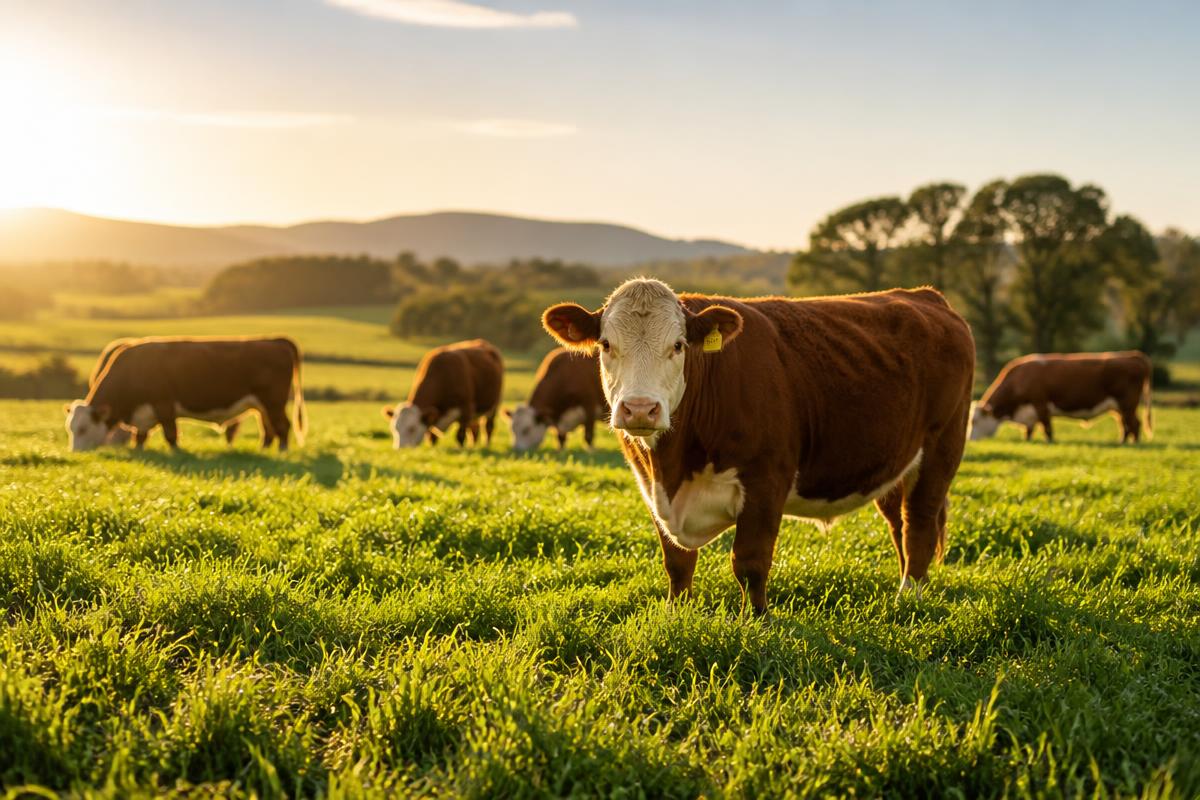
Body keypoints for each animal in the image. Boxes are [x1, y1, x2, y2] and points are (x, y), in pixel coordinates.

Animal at [65, 336, 306, 452]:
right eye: (70, 428)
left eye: (83, 428)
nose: (75, 452)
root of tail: (276, 341)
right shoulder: (145, 413)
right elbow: (140, 436)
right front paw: (139, 449)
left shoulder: (164, 404)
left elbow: (171, 433)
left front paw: (177, 451)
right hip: (262, 406)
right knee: (269, 429)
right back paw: (264, 449)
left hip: (273, 401)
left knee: (283, 426)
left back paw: (282, 450)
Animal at [542, 278, 975, 615]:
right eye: (605, 344)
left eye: (679, 345)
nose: (639, 409)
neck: (674, 465)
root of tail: (925, 296)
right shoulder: (650, 487)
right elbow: (677, 562)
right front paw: (676, 613)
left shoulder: (767, 479)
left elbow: (749, 561)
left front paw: (757, 620)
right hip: (892, 461)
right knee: (897, 522)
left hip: (942, 447)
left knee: (918, 523)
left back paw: (909, 598)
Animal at [969, 351, 1153, 444]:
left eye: (974, 421)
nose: (970, 439)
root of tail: (1133, 355)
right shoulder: (1030, 411)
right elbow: (1029, 429)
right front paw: (1027, 440)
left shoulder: (1040, 403)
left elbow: (1047, 427)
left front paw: (1049, 442)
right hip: (1118, 408)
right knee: (1125, 425)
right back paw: (1122, 441)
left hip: (1127, 403)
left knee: (1135, 424)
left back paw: (1133, 443)